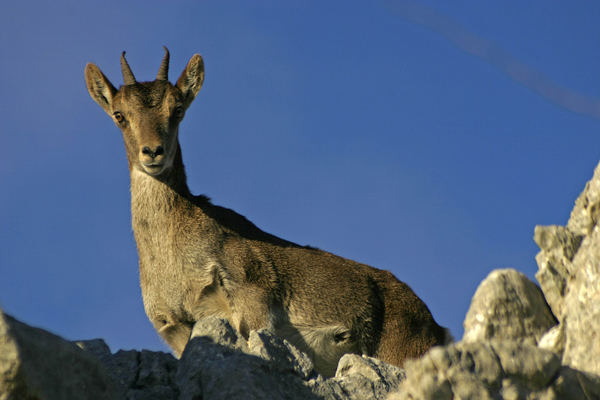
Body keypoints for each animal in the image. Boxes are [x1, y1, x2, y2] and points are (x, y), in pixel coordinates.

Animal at [85, 48, 450, 376]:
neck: (170, 254)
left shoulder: (251, 298)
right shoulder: (173, 326)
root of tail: (435, 325)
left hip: (401, 348)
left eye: (177, 109)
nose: (153, 152)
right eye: (119, 115)